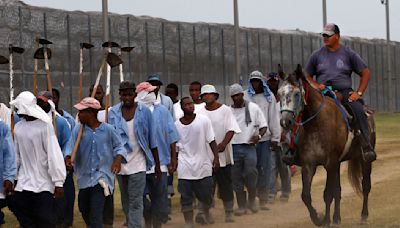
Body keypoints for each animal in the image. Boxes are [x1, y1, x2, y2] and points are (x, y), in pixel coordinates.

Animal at [278, 64, 376, 226]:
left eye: (297, 94)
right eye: (279, 94)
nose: (285, 121)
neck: (316, 124)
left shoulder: (330, 163)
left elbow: (327, 194)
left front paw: (325, 219)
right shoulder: (309, 165)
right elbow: (306, 196)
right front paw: (319, 218)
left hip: (364, 159)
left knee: (366, 185)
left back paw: (363, 216)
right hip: (338, 164)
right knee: (338, 190)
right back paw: (337, 218)